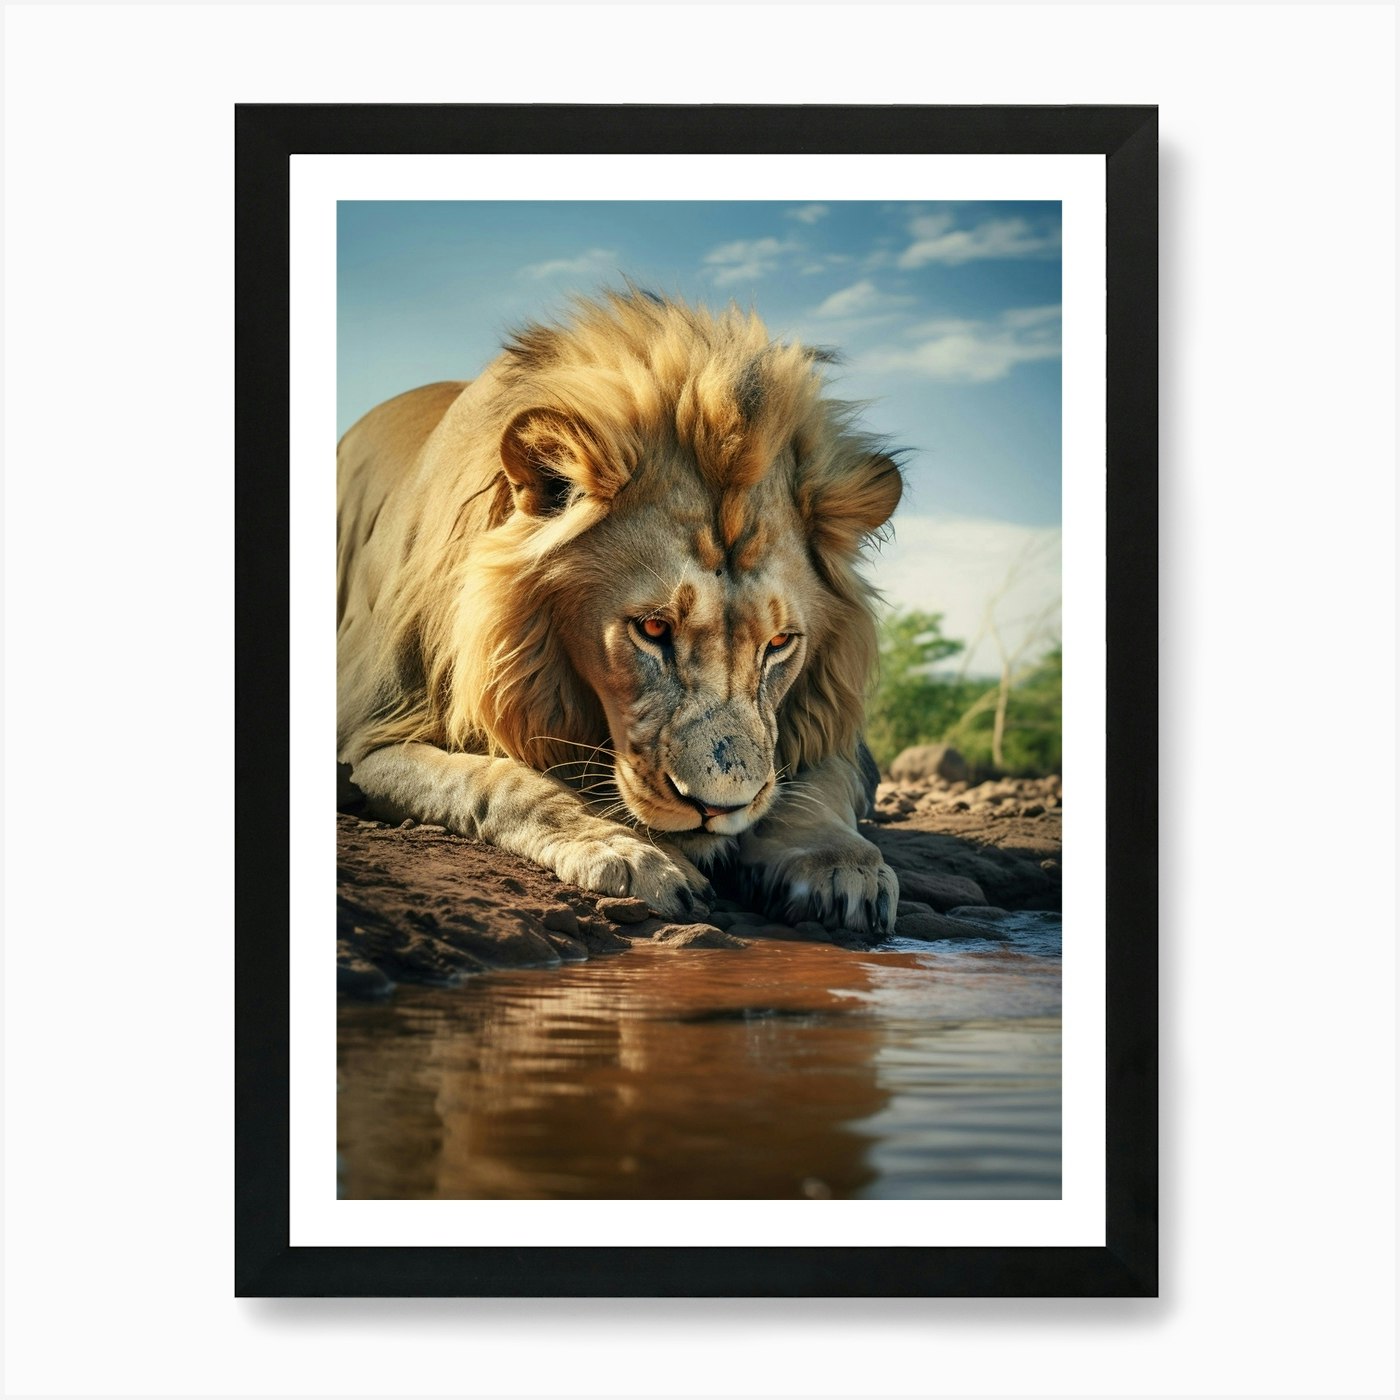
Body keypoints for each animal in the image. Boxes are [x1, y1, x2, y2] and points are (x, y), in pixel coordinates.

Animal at [337, 289, 904, 934]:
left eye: (780, 643)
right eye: (654, 629)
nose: (716, 808)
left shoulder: (836, 735)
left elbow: (819, 789)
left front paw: (842, 868)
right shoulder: (369, 734)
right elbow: (498, 780)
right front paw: (631, 853)